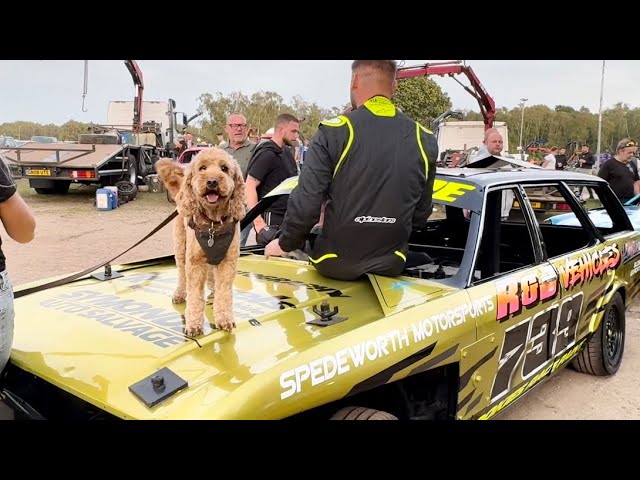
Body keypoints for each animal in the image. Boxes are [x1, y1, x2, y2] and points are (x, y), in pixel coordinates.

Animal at [155, 148, 245, 336]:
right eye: (202, 168)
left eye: (224, 168)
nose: (212, 181)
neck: (213, 224)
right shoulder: (195, 263)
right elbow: (195, 296)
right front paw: (194, 325)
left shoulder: (228, 262)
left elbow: (224, 293)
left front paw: (224, 319)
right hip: (181, 249)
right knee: (182, 275)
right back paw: (180, 293)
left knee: (211, 275)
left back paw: (212, 285)